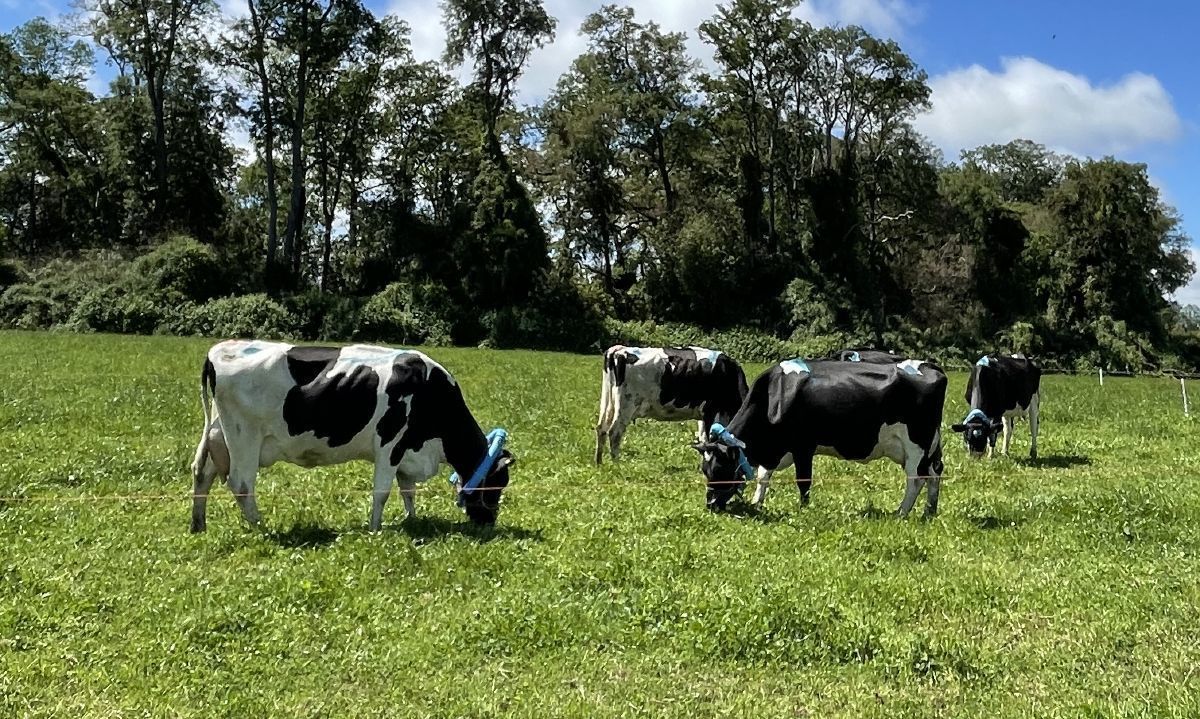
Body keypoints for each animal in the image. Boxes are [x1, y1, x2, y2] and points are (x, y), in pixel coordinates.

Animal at [189, 340, 513, 530]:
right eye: (498, 484)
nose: (488, 522)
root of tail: (220, 349)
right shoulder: (390, 443)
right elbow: (382, 491)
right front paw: (375, 529)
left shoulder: (407, 451)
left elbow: (407, 490)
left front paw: (412, 520)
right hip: (244, 437)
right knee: (241, 484)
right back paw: (261, 526)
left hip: (218, 433)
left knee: (202, 473)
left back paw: (199, 525)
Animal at [592, 345, 748, 468]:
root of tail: (619, 349)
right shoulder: (711, 410)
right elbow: (710, 439)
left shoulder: (703, 415)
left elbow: (704, 439)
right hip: (626, 404)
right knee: (614, 432)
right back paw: (616, 464)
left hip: (608, 403)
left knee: (601, 428)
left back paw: (599, 463)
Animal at [696, 357, 945, 518]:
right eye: (705, 470)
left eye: (720, 469)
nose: (711, 504)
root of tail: (933, 367)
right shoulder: (779, 449)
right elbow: (763, 475)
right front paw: (757, 502)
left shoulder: (803, 447)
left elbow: (803, 480)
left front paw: (804, 509)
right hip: (930, 446)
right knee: (934, 473)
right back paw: (929, 511)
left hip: (916, 445)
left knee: (916, 479)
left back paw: (901, 513)